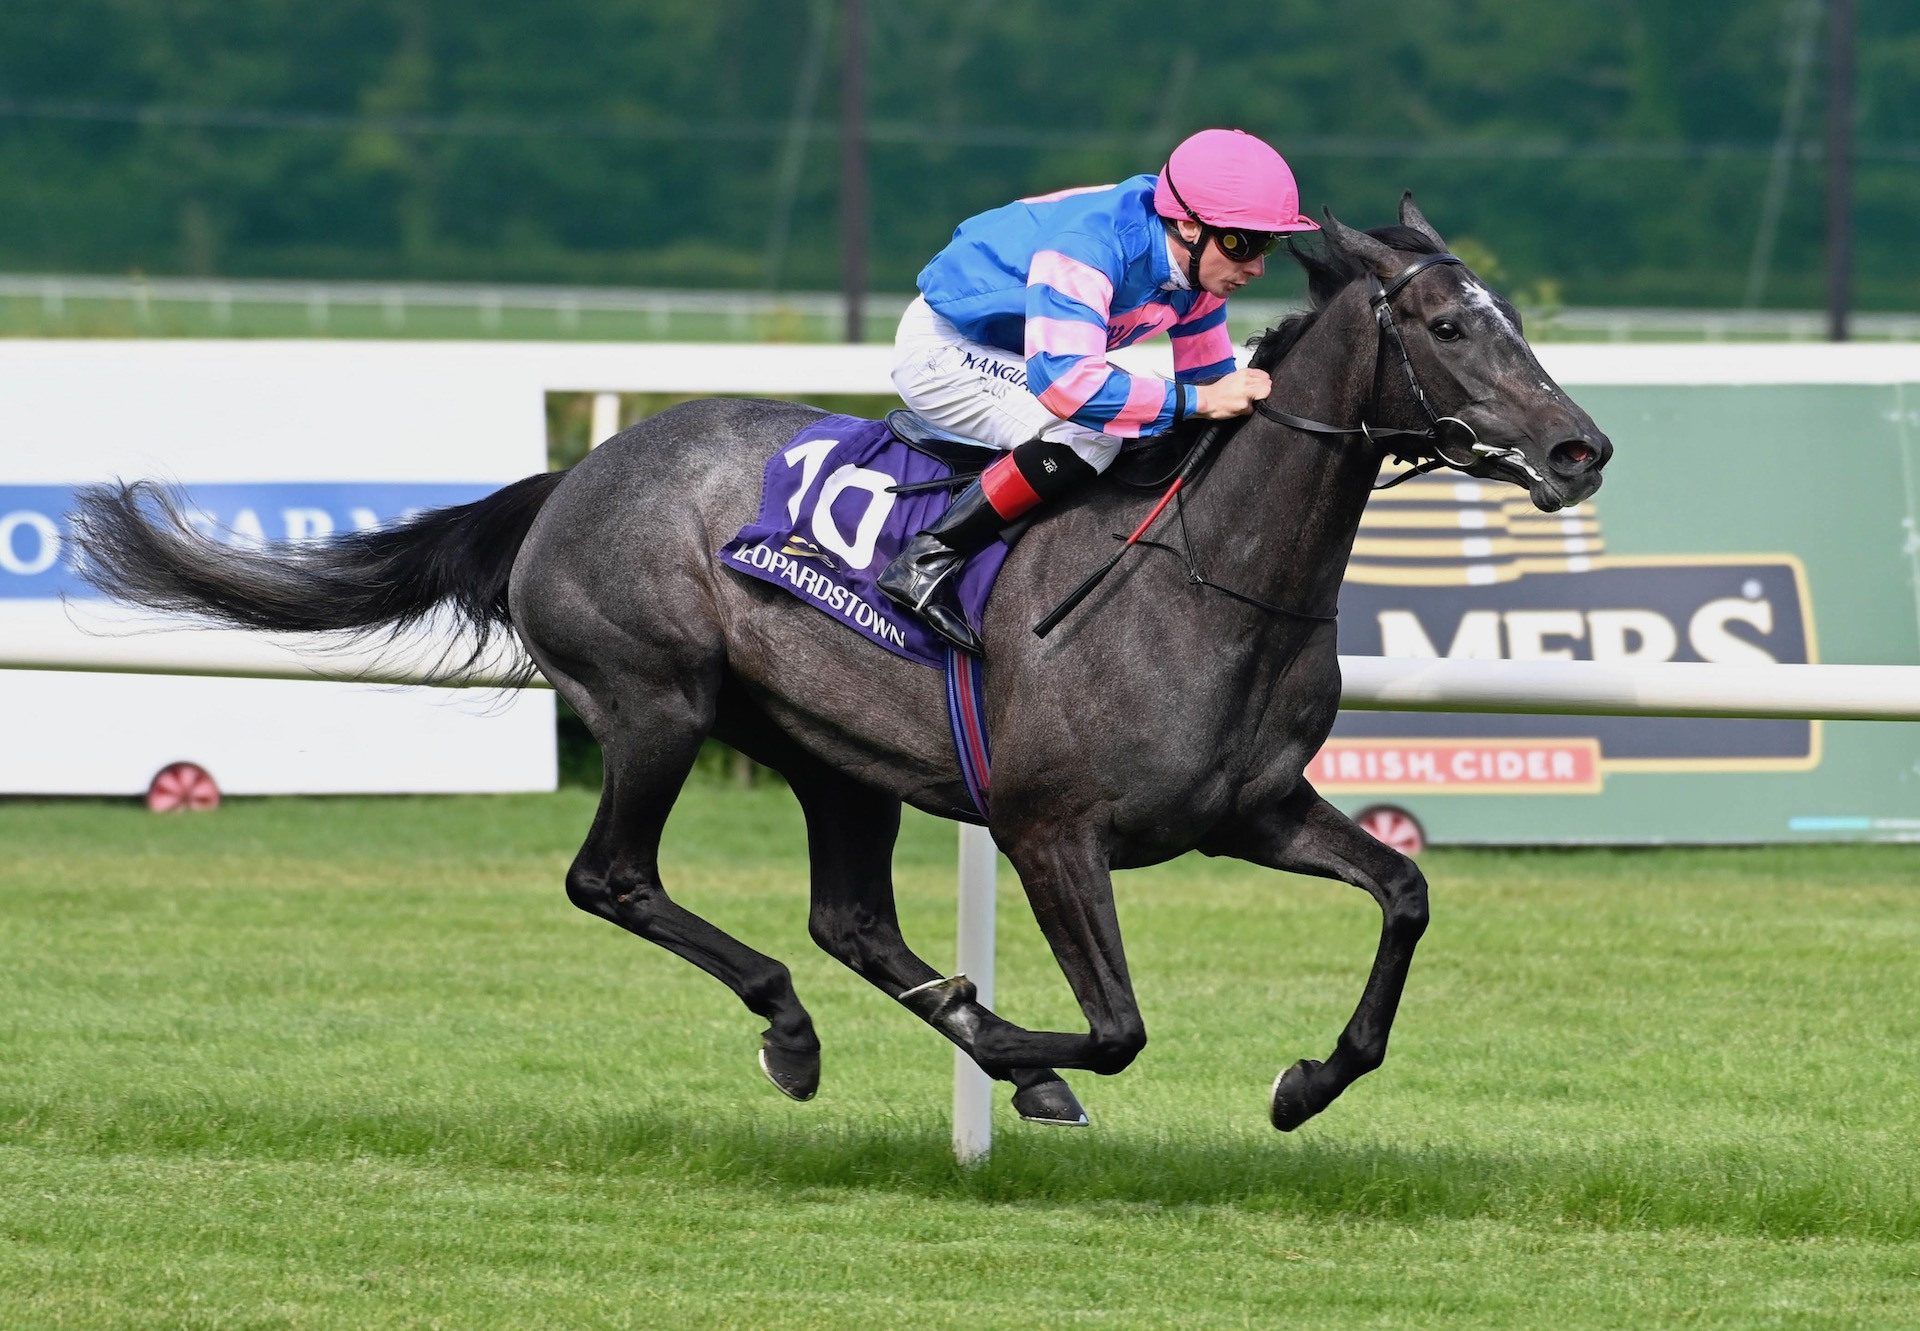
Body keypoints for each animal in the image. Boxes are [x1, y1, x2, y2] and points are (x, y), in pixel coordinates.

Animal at [67, 196, 1605, 1129]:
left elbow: (1405, 893)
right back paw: (803, 1033)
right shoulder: (1050, 828)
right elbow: (1114, 1025)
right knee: (614, 878)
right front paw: (1016, 1046)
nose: (1580, 445)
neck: (1205, 578)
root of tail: (578, 470)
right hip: (656, 701)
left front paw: (1305, 1080)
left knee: (851, 919)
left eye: (1517, 317)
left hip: (835, 755)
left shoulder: (1256, 810)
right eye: (1451, 325)